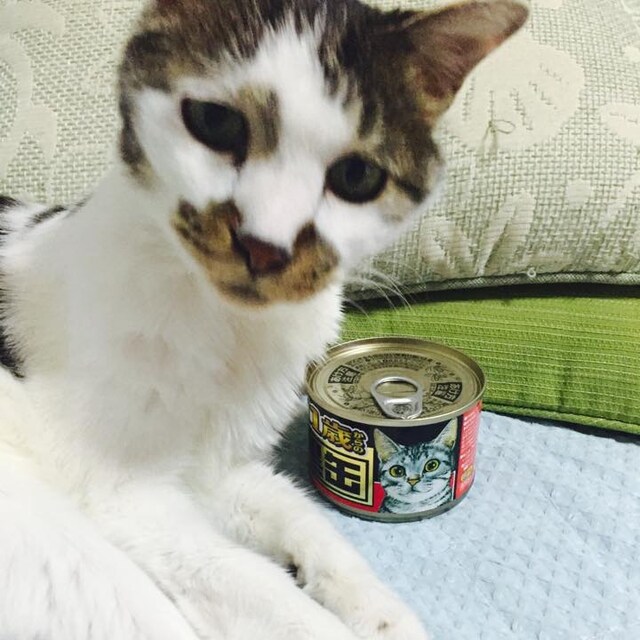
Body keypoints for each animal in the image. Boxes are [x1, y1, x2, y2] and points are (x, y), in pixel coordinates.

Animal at [0, 0, 527, 638]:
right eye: (216, 123)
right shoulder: (129, 497)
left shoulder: (222, 470)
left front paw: (382, 614)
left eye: (357, 178)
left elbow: (304, 520)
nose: (266, 246)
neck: (226, 332)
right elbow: (269, 595)